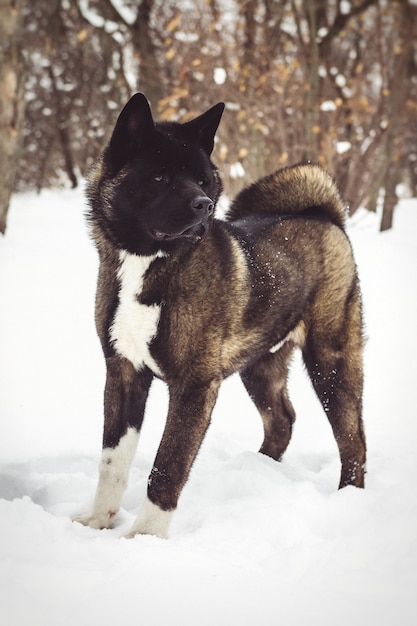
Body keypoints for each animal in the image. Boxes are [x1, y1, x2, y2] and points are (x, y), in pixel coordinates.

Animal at [74, 91, 364, 536]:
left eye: (202, 179)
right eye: (159, 177)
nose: (205, 205)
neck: (153, 264)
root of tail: (323, 215)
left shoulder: (194, 386)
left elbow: (167, 466)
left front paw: (145, 536)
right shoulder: (123, 373)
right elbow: (112, 460)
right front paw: (98, 521)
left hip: (331, 362)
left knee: (353, 441)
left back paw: (350, 499)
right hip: (260, 366)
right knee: (282, 420)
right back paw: (259, 470)